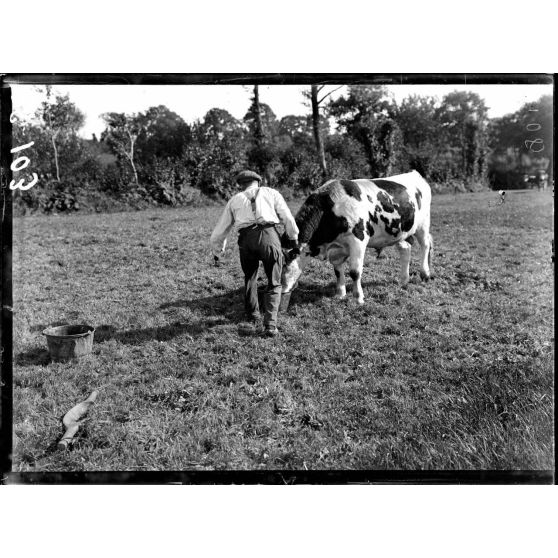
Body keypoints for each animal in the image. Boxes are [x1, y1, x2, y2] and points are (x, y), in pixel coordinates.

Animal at [282, 172, 436, 306]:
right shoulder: (337, 248)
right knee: (405, 249)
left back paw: (425, 274)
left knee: (425, 245)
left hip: (423, 225)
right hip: (400, 231)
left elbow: (355, 272)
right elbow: (337, 271)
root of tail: (415, 174)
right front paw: (340, 294)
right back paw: (404, 280)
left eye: (286, 261)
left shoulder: (358, 240)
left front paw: (359, 298)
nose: (281, 288)